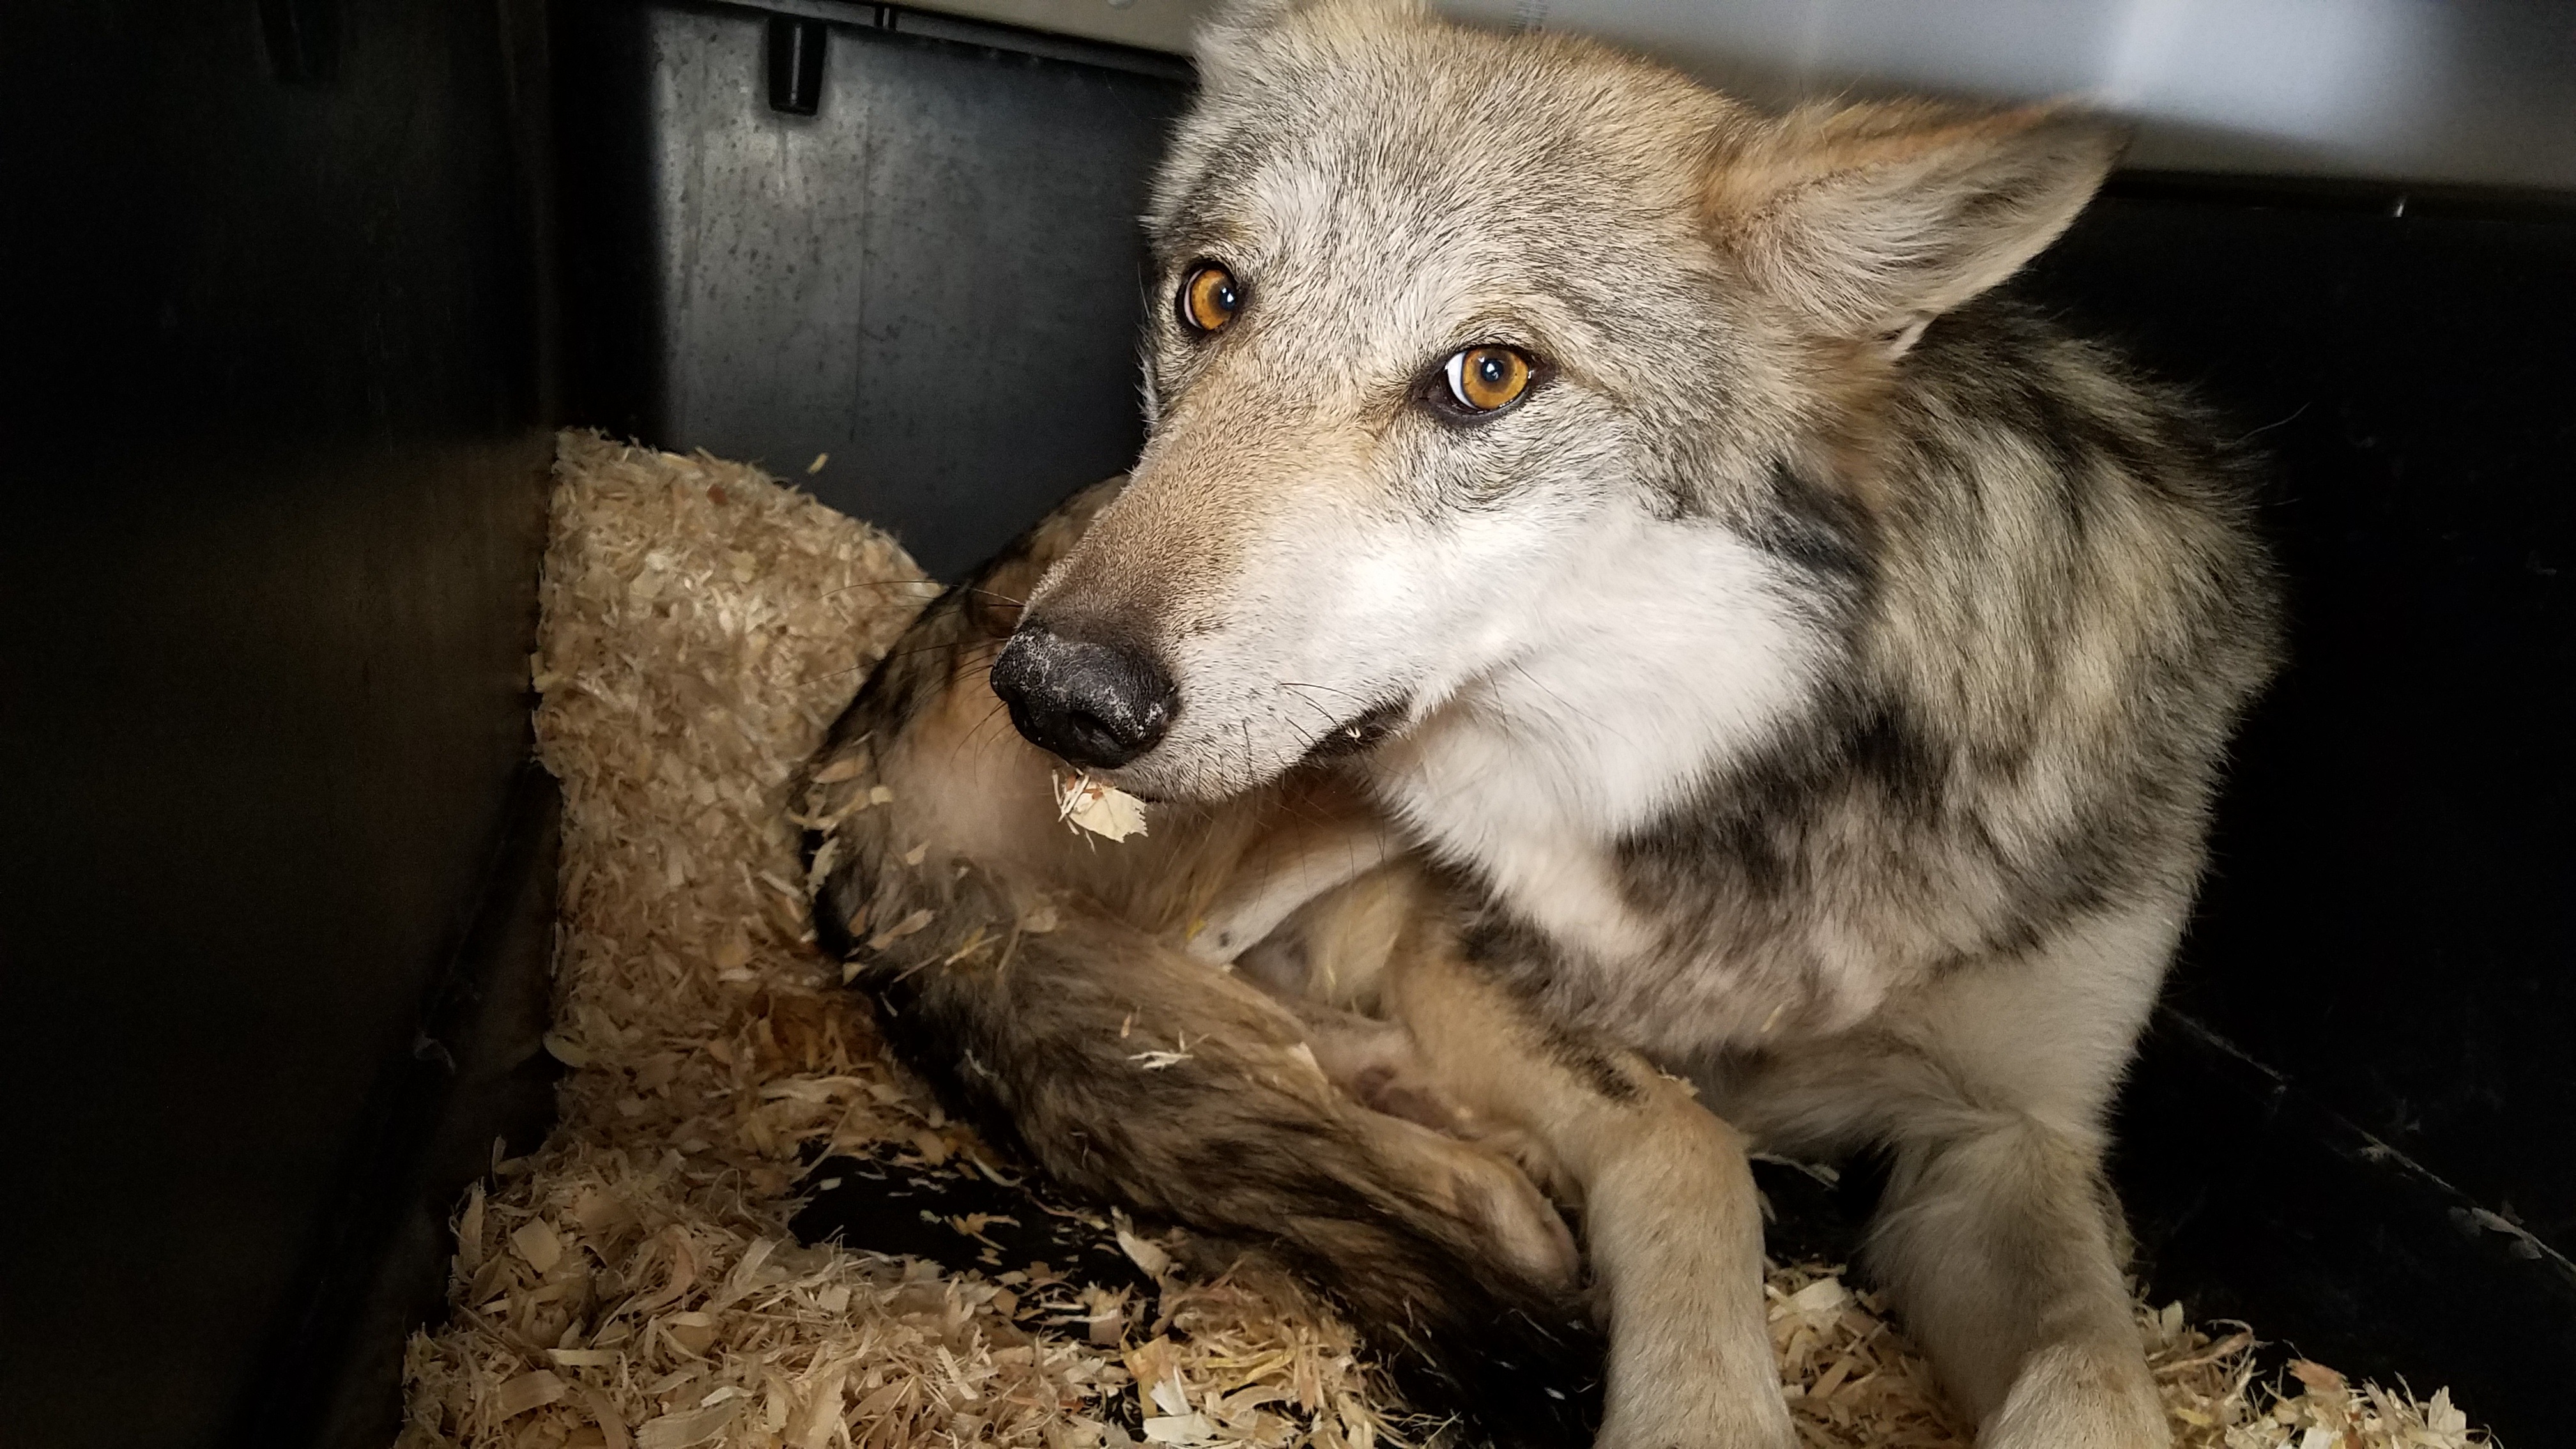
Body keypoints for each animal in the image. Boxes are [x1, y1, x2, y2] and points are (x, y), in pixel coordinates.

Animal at [798, 0, 2277, 1433]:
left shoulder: (2012, 1133)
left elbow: (2093, 1372)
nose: (1060, 694)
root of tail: (846, 763)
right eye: (1211, 298)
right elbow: (1695, 1148)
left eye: (1490, 376)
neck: (1760, 783)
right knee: (1202, 1014)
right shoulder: (1467, 964)